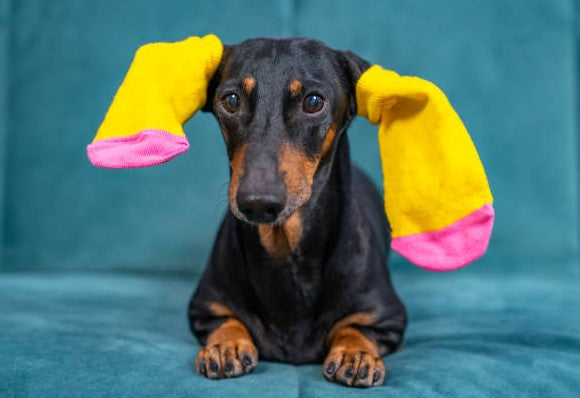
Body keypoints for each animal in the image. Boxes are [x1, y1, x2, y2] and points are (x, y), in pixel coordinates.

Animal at [188, 38, 406, 388]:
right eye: (231, 100)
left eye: (313, 101)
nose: (257, 202)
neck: (285, 249)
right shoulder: (205, 308)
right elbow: (228, 321)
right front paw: (225, 346)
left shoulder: (388, 318)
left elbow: (355, 327)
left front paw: (355, 353)